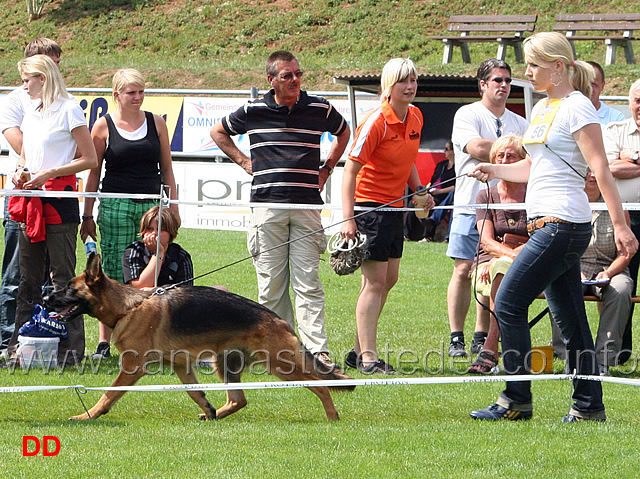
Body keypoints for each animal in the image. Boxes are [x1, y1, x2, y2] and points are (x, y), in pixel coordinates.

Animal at [45, 255, 356, 420]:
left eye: (70, 289)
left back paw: (332, 416)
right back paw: (215, 414)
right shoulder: (182, 366)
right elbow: (195, 392)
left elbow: (109, 394)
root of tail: (278, 319)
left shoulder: (132, 368)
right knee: (239, 400)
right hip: (225, 364)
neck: (127, 308)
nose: (46, 297)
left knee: (320, 386)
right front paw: (208, 408)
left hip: (281, 366)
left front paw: (87, 416)